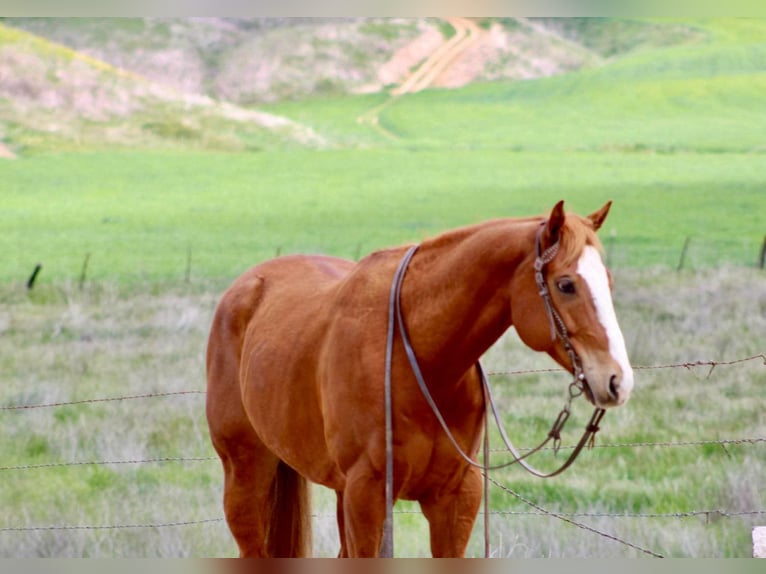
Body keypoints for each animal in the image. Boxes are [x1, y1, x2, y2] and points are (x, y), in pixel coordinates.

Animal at [205, 200, 634, 558]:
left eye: (609, 281)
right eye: (566, 284)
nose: (618, 380)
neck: (421, 362)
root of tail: (247, 286)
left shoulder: (456, 497)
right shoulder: (368, 494)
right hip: (246, 473)